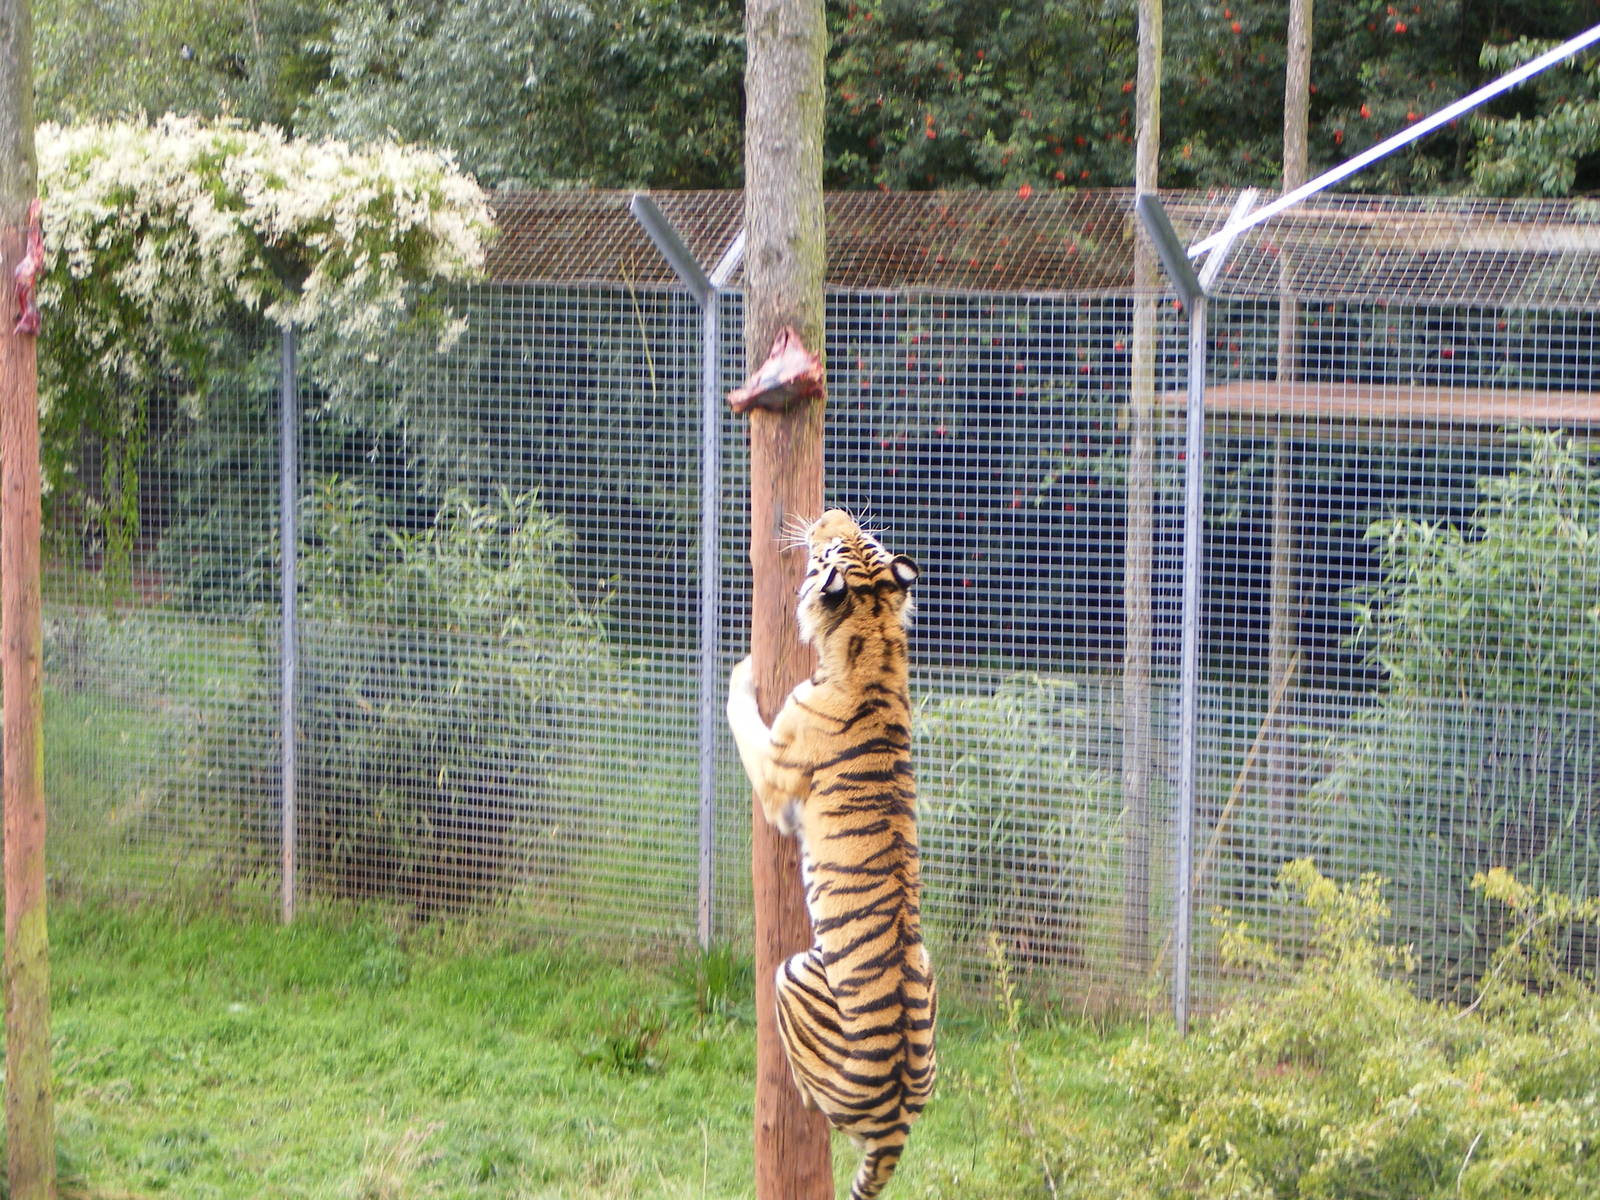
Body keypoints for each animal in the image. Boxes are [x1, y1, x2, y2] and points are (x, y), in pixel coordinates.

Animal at [727, 509, 936, 1200]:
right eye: (862, 539)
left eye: (830, 549)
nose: (828, 513)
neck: (874, 635)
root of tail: (899, 1122)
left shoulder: (775, 772)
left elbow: (742, 715)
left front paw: (740, 667)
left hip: (792, 974)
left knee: (811, 1093)